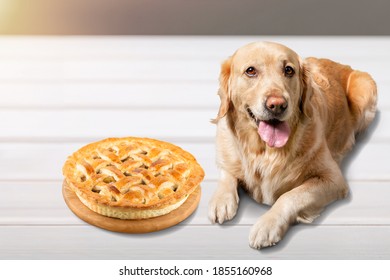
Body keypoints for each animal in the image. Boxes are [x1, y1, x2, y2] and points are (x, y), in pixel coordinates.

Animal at [209, 40, 376, 248]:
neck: (265, 151)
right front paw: (221, 201)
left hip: (365, 89)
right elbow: (227, 173)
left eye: (289, 70)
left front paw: (267, 224)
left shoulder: (333, 179)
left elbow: (290, 196)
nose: (277, 105)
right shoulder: (226, 152)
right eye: (250, 71)